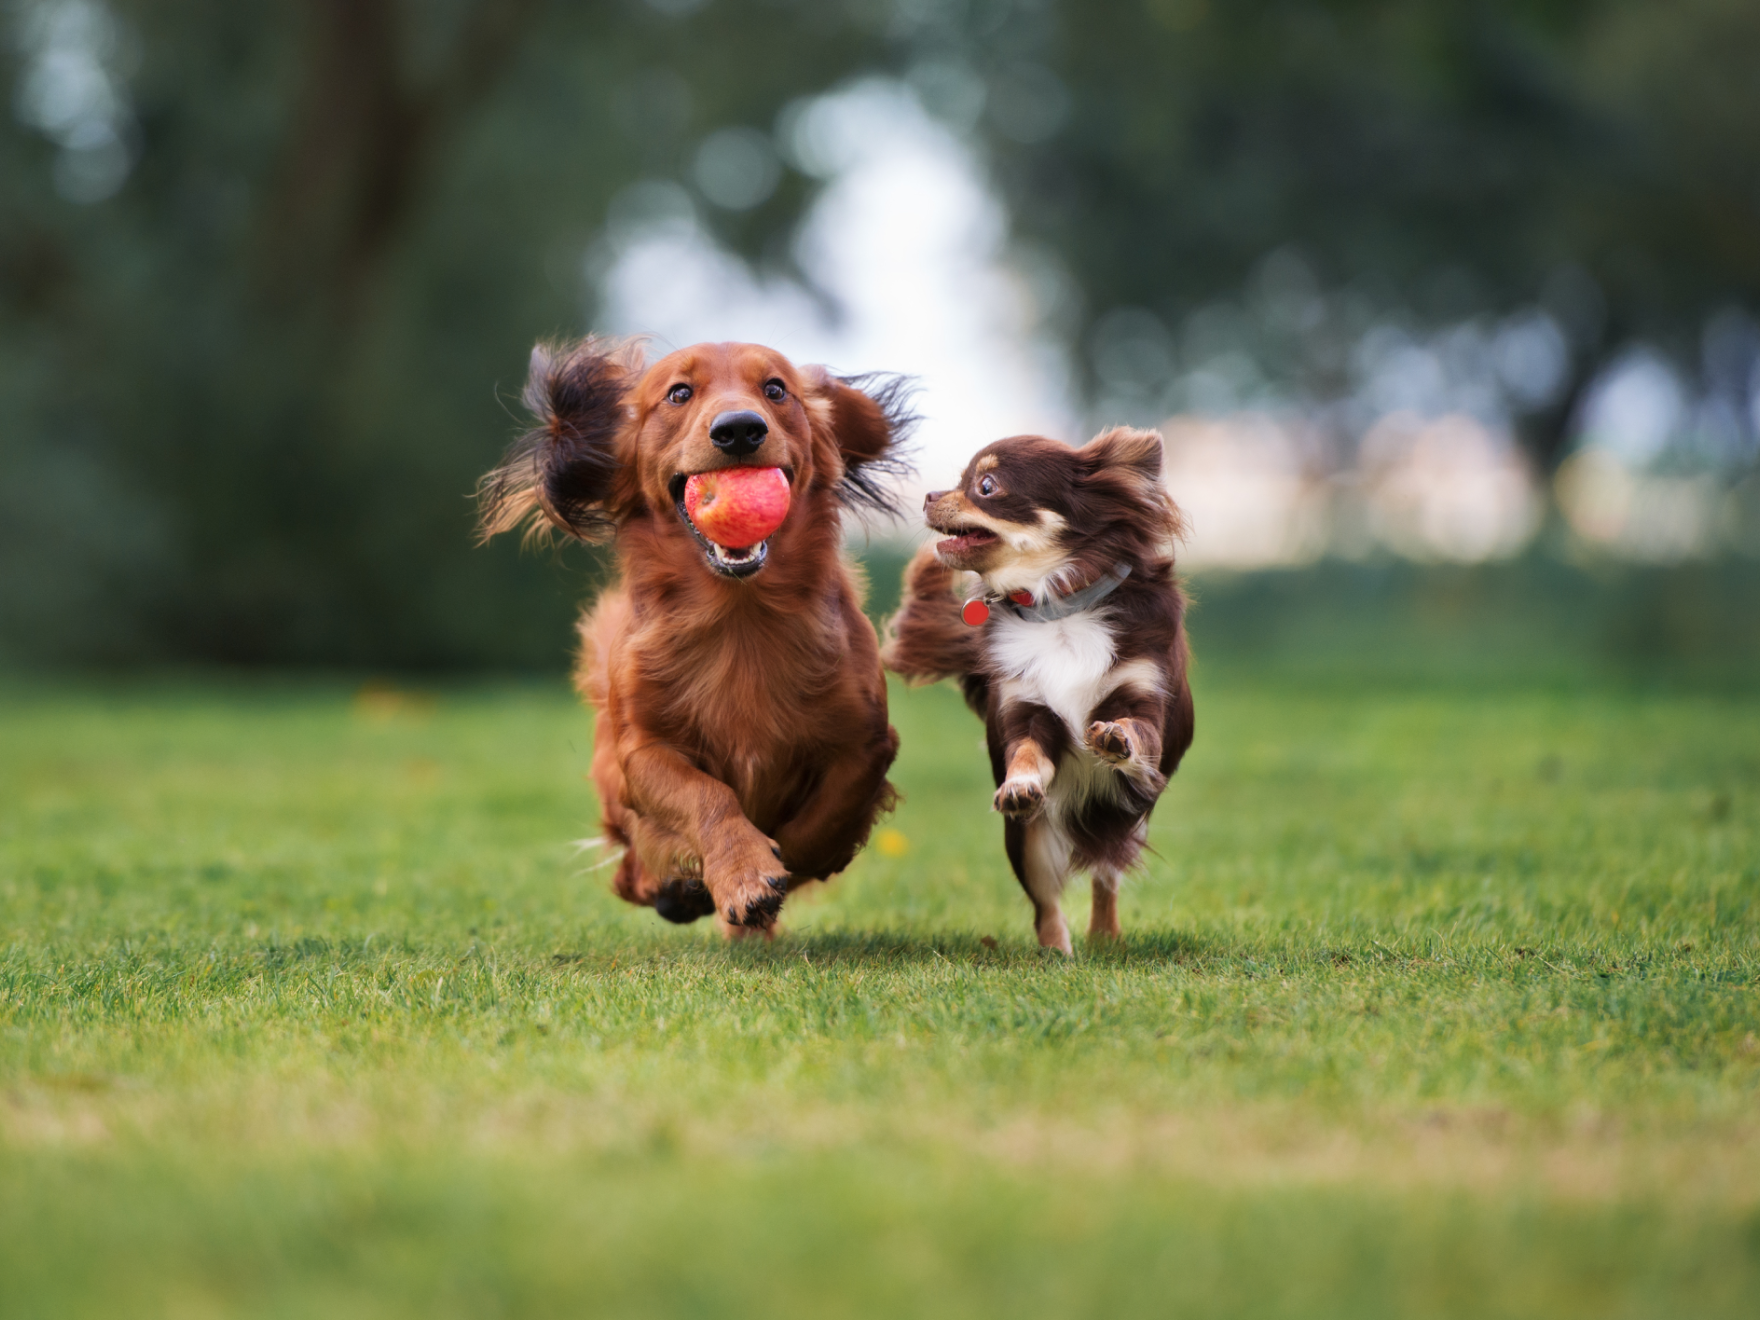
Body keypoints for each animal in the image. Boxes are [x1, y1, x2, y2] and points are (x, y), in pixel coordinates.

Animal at [482, 341, 915, 943]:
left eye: (776, 389)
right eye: (679, 393)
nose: (739, 430)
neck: (740, 617)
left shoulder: (867, 741)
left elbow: (824, 818)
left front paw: (774, 868)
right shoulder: (642, 751)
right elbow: (706, 796)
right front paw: (743, 872)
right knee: (629, 870)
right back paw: (676, 889)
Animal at [880, 429, 1196, 957]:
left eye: (986, 486)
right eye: (961, 480)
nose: (928, 495)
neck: (1058, 608)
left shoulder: (1144, 699)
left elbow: (1135, 730)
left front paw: (1115, 739)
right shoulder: (1027, 710)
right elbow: (1027, 752)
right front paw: (1021, 784)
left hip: (1126, 819)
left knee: (1105, 876)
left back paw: (1104, 937)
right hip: (1027, 842)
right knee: (1046, 903)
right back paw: (1056, 954)